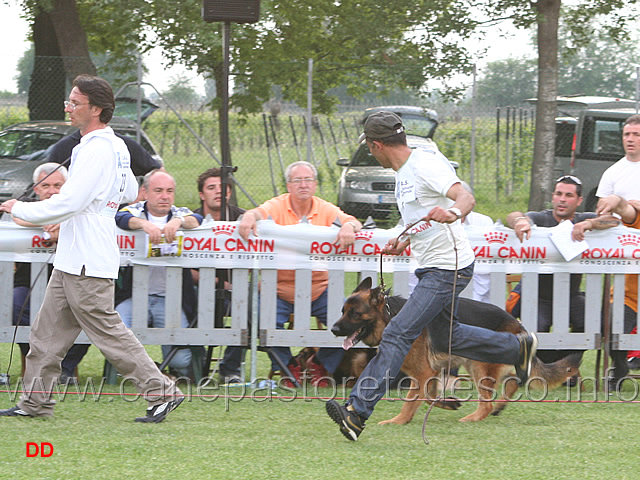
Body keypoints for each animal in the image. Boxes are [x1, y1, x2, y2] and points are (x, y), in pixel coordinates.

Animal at [332, 278, 584, 424]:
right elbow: (429, 397)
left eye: (354, 314)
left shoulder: (422, 374)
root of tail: (517, 325)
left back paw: (473, 417)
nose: (333, 329)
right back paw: (500, 405)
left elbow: (412, 400)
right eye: (343, 310)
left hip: (478, 364)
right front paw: (448, 403)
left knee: (489, 400)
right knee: (515, 380)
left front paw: (398, 421)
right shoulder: (430, 374)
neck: (389, 316)